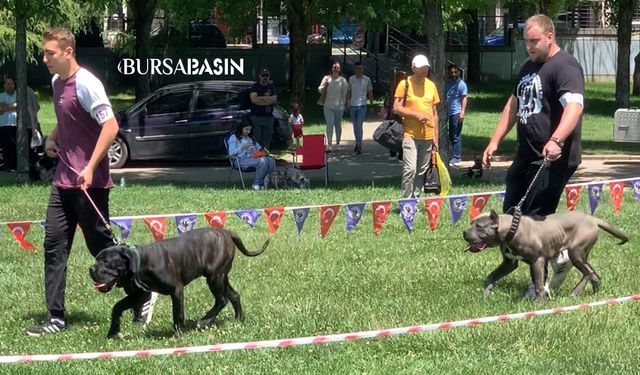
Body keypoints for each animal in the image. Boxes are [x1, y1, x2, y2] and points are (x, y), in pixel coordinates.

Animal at [89, 228, 268, 340]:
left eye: (106, 262)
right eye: (96, 259)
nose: (91, 269)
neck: (140, 261)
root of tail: (227, 233)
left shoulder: (176, 290)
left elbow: (178, 313)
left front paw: (178, 334)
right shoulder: (140, 295)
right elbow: (117, 307)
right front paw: (113, 331)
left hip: (214, 277)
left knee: (222, 299)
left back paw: (205, 321)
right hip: (221, 277)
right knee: (234, 295)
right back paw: (238, 320)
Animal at [462, 212, 628, 302]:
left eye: (479, 227)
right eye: (472, 223)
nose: (464, 232)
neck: (512, 229)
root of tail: (592, 219)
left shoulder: (538, 261)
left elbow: (539, 285)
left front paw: (538, 304)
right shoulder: (509, 263)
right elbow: (490, 277)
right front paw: (486, 295)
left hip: (576, 253)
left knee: (588, 273)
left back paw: (575, 293)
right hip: (582, 255)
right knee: (593, 272)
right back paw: (594, 290)